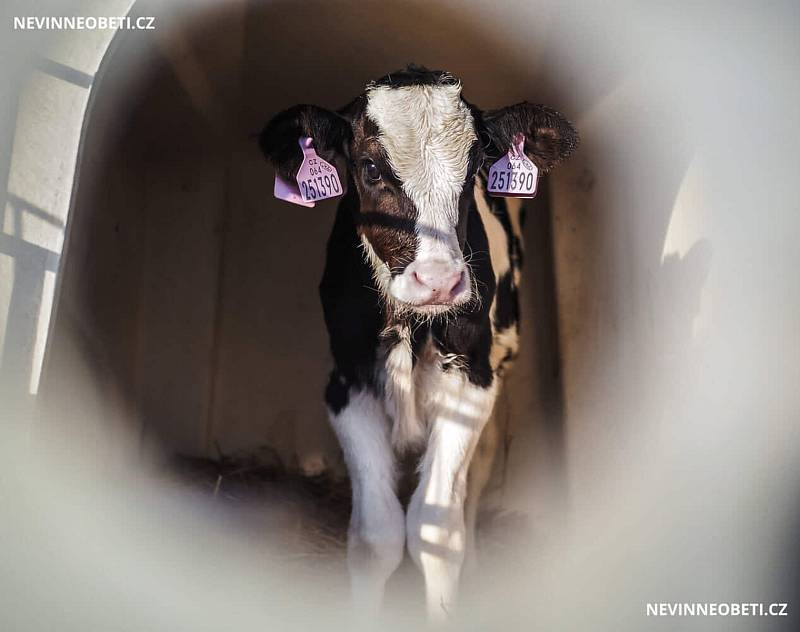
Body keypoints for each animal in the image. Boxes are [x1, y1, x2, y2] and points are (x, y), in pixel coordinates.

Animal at [260, 65, 580, 616]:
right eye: (369, 167)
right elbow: (375, 538)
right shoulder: (346, 386)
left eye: (475, 169)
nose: (439, 281)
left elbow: (437, 531)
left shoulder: (471, 380)